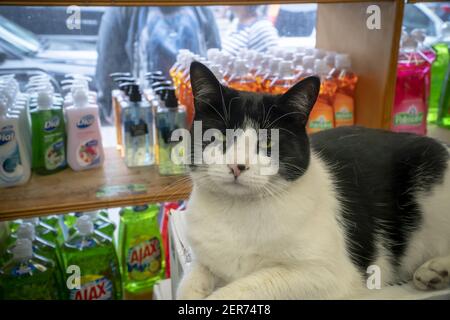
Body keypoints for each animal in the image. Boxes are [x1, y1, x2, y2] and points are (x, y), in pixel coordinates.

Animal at [177, 62, 450, 300]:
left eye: (268, 142)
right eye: (220, 137)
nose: (237, 166)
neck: (236, 213)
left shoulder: (326, 274)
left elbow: (243, 287)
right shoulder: (203, 258)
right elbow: (190, 280)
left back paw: (436, 270)